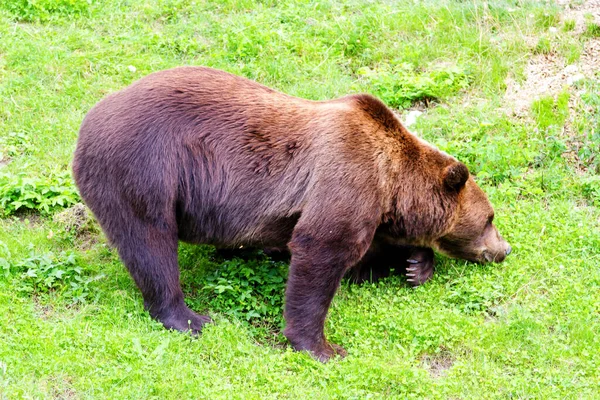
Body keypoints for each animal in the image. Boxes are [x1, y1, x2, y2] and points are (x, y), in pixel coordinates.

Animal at [71, 66, 510, 362]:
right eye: (490, 218)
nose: (504, 249)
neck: (392, 185)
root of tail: (87, 121)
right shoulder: (346, 175)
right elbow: (321, 250)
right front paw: (322, 346)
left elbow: (362, 259)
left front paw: (415, 263)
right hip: (143, 166)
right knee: (150, 243)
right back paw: (189, 317)